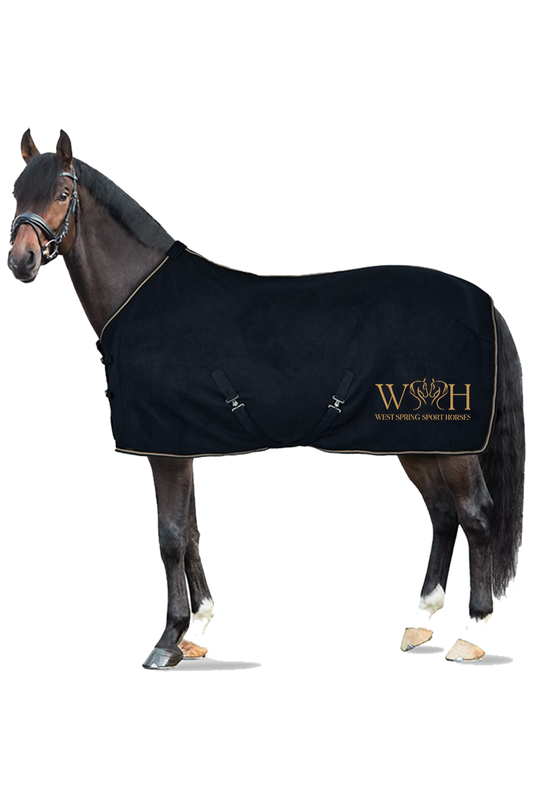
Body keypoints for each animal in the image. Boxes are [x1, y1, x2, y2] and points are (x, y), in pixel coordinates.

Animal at [7, 127, 526, 669]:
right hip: (418, 441)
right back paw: (420, 622)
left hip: (452, 444)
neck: (141, 296)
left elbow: (170, 535)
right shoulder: (181, 445)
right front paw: (198, 627)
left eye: (61, 194)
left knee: (476, 515)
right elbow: (191, 530)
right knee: (444, 515)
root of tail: (483, 301)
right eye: (17, 194)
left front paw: (167, 641)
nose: (21, 261)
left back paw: (471, 631)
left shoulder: (165, 449)